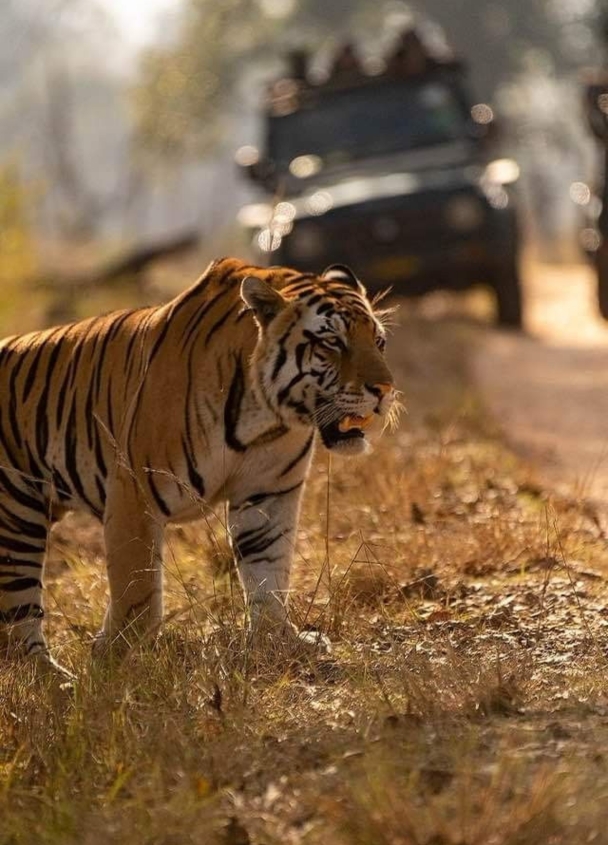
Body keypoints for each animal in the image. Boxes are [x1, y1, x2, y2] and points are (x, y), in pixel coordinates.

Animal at [0, 257, 396, 675]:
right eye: (332, 342)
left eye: (379, 342)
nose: (385, 390)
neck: (265, 418)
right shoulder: (135, 493)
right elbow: (139, 594)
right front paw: (112, 662)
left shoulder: (269, 492)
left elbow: (268, 571)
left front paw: (278, 641)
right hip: (18, 517)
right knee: (19, 613)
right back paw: (53, 677)